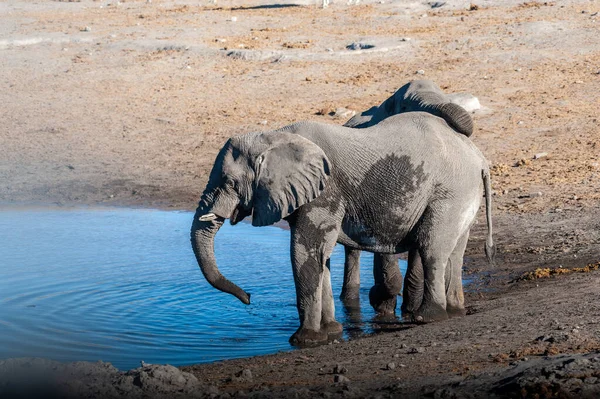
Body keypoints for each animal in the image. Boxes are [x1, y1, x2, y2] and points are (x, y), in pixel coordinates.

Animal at [190, 112, 494, 346]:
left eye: (230, 182)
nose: (249, 298)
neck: (275, 136)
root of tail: (478, 157)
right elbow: (320, 257)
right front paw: (332, 332)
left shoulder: (325, 192)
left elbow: (304, 253)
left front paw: (304, 340)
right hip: (463, 193)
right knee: (455, 252)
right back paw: (455, 311)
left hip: (449, 192)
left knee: (432, 249)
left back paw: (427, 317)